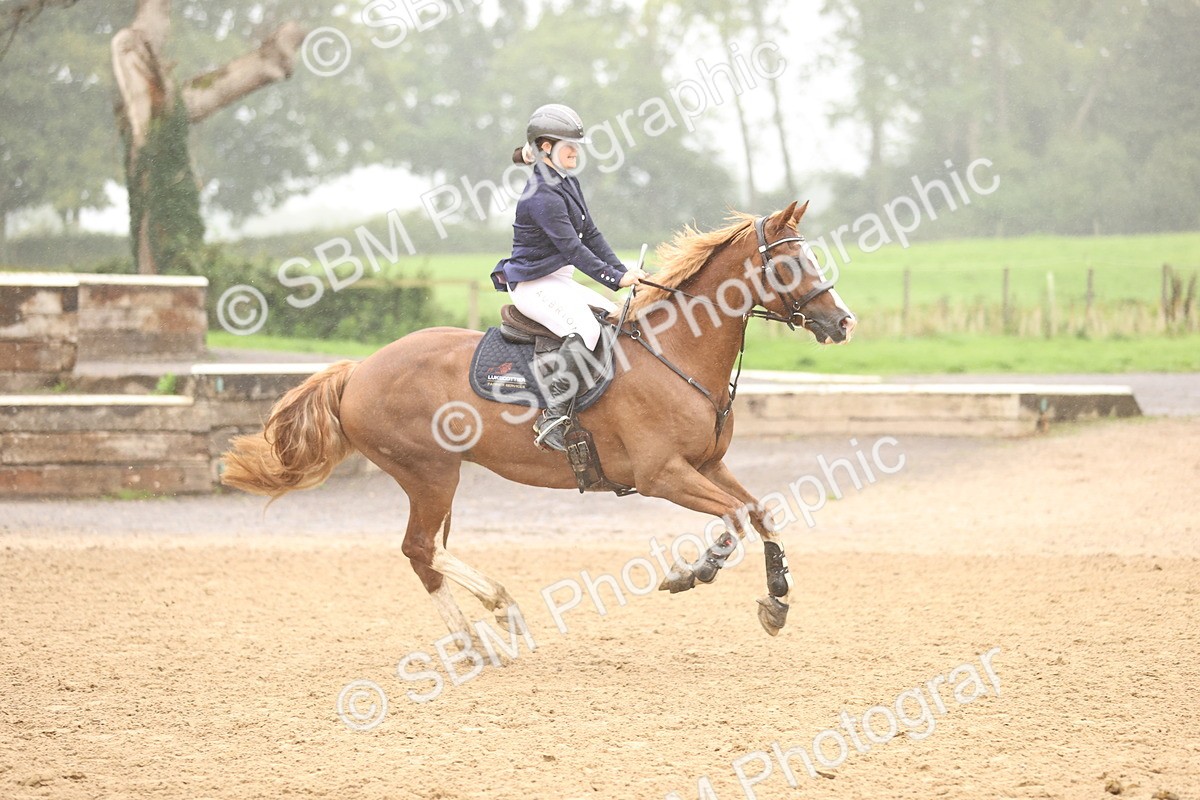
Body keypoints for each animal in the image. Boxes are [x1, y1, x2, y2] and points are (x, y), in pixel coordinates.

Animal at [221, 200, 856, 639]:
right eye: (792, 262)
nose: (843, 322)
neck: (678, 351)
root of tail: (358, 370)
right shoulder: (663, 475)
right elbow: (735, 517)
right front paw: (694, 572)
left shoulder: (707, 465)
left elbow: (760, 511)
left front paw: (777, 597)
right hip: (429, 473)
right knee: (419, 547)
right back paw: (497, 613)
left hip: (434, 477)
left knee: (423, 555)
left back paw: (475, 640)